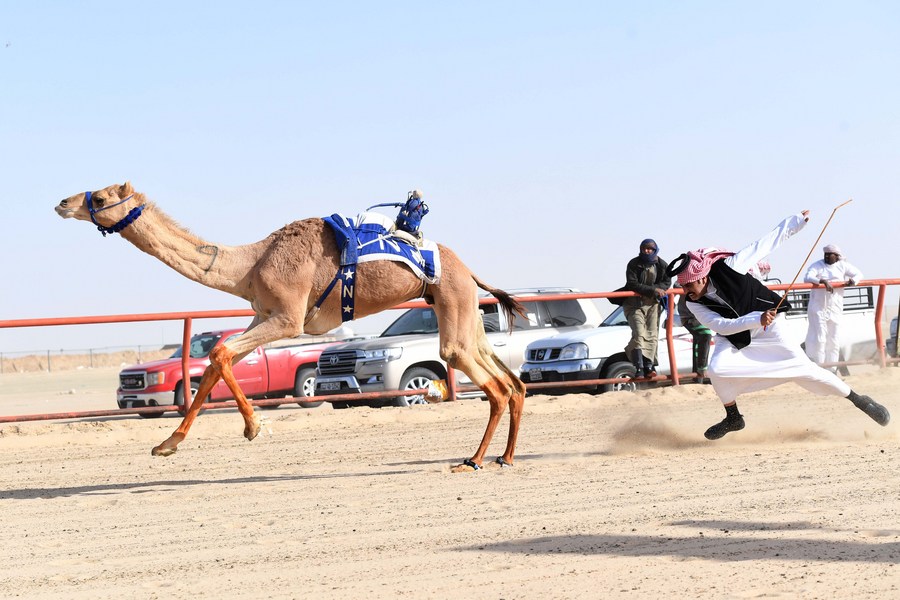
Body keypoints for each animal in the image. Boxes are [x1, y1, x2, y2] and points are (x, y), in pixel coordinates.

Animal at [54, 180, 528, 472]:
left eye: (99, 198)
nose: (63, 202)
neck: (250, 264)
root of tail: (468, 270)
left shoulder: (288, 318)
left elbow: (220, 352)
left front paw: (253, 427)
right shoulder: (263, 315)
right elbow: (215, 362)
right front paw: (167, 443)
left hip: (452, 305)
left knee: (490, 383)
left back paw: (474, 460)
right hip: (463, 311)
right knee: (513, 382)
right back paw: (504, 457)